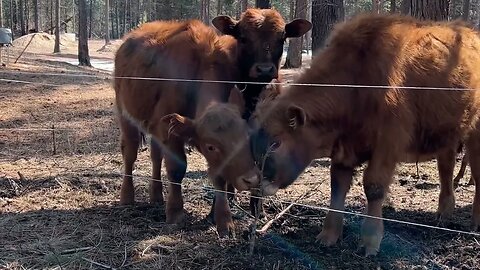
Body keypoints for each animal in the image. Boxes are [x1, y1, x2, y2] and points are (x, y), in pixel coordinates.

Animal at [114, 20, 260, 237]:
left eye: (247, 137)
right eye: (210, 146)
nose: (251, 179)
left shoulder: (166, 127)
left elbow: (219, 178)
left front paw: (225, 222)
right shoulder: (170, 132)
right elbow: (177, 169)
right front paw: (175, 213)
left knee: (156, 157)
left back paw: (156, 195)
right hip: (125, 114)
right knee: (130, 153)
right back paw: (127, 197)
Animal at [249, 13, 480, 256]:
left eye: (276, 143)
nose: (258, 185)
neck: (356, 80)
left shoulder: (387, 145)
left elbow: (374, 187)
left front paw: (370, 241)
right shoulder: (343, 149)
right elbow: (337, 187)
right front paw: (328, 235)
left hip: (475, 134)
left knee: (477, 173)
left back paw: (474, 224)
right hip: (448, 134)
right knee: (446, 169)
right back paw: (443, 214)